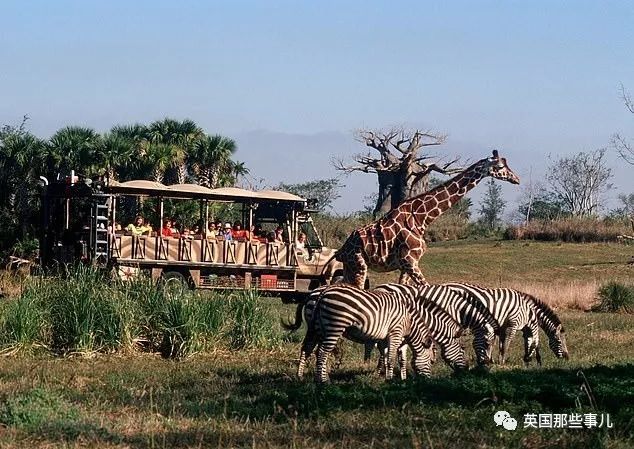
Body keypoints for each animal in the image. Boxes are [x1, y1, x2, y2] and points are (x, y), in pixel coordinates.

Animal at [334, 150, 516, 288]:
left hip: (350, 268)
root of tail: (342, 249)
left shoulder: (406, 265)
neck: (422, 218)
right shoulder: (410, 261)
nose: (516, 179)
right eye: (500, 166)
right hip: (359, 265)